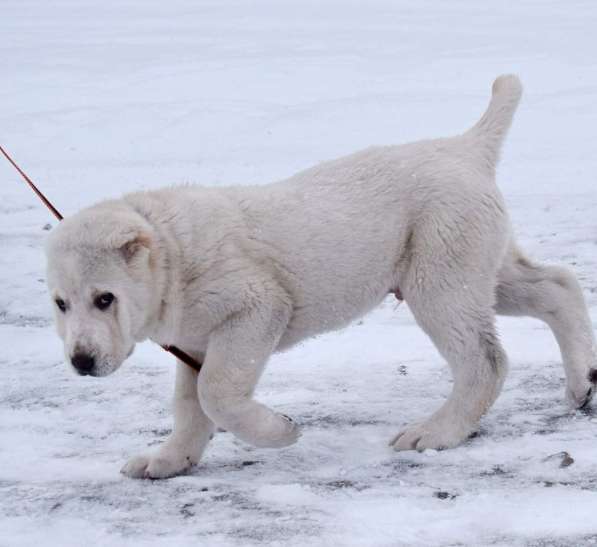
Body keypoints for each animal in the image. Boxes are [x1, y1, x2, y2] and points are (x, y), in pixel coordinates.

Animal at [45, 76, 596, 480]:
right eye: (61, 304)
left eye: (105, 298)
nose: (81, 362)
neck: (170, 250)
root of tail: (466, 148)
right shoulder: (196, 338)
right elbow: (190, 403)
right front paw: (168, 459)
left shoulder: (255, 305)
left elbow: (216, 392)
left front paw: (283, 431)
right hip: (475, 261)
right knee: (556, 287)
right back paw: (582, 384)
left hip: (441, 269)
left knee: (484, 358)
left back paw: (437, 433)